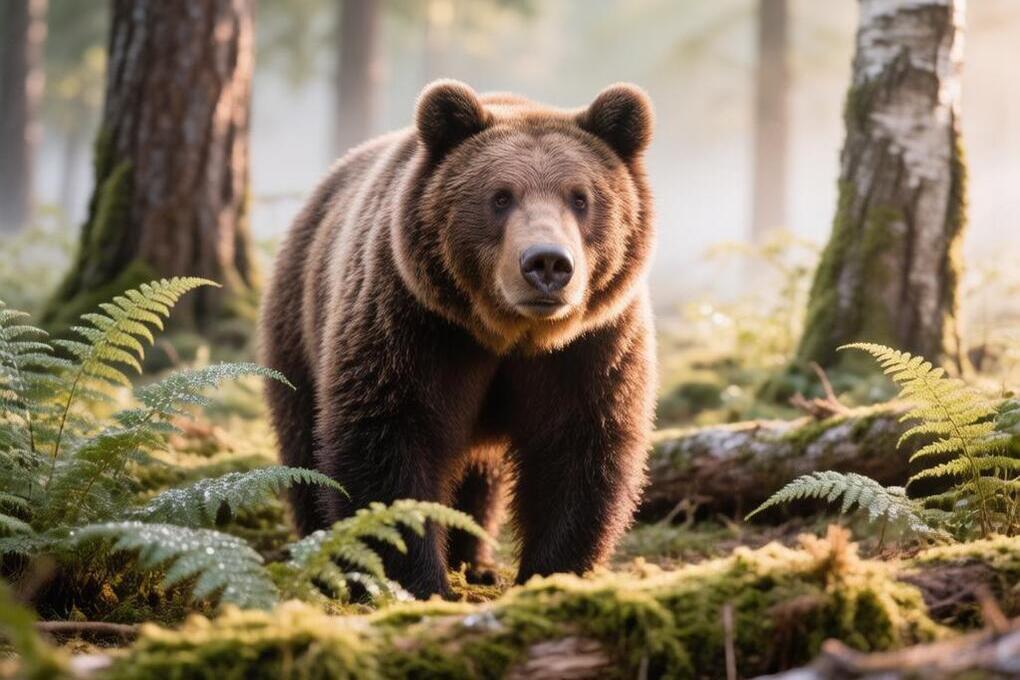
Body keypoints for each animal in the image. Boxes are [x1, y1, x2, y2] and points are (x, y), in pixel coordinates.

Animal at [259, 79, 656, 599]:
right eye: (501, 197)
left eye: (580, 197)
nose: (547, 263)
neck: (509, 335)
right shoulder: (414, 326)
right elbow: (387, 444)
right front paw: (421, 583)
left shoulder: (592, 346)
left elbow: (580, 450)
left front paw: (549, 572)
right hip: (299, 326)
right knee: (303, 447)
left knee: (479, 474)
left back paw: (477, 562)